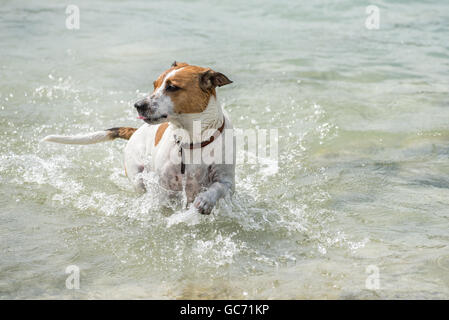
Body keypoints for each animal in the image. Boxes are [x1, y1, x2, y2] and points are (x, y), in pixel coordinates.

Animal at [44, 61, 236, 214]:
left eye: (172, 87)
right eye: (155, 84)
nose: (138, 105)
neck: (192, 140)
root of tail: (136, 131)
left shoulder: (227, 181)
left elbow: (218, 187)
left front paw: (205, 200)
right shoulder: (162, 185)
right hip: (137, 176)